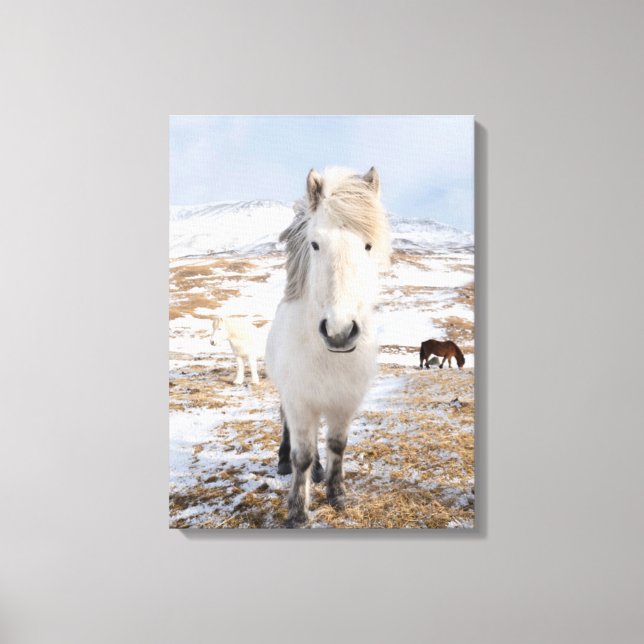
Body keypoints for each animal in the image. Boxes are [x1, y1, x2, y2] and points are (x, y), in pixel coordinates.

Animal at [266, 166, 391, 528]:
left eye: (368, 245)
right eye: (315, 244)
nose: (340, 332)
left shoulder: (343, 402)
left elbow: (337, 445)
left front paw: (337, 495)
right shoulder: (299, 401)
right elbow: (303, 456)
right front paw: (297, 511)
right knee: (288, 430)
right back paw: (285, 463)